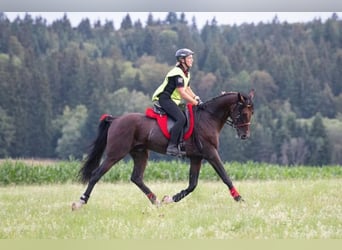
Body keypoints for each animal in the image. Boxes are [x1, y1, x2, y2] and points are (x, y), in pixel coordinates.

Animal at [71, 89, 254, 210]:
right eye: (243, 113)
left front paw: (169, 199)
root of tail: (115, 119)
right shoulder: (211, 153)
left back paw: (156, 201)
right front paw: (240, 200)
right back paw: (80, 202)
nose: (245, 135)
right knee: (96, 174)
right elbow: (225, 177)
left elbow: (192, 185)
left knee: (136, 178)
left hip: (140, 153)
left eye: (251, 113)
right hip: (115, 153)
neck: (208, 117)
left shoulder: (196, 157)